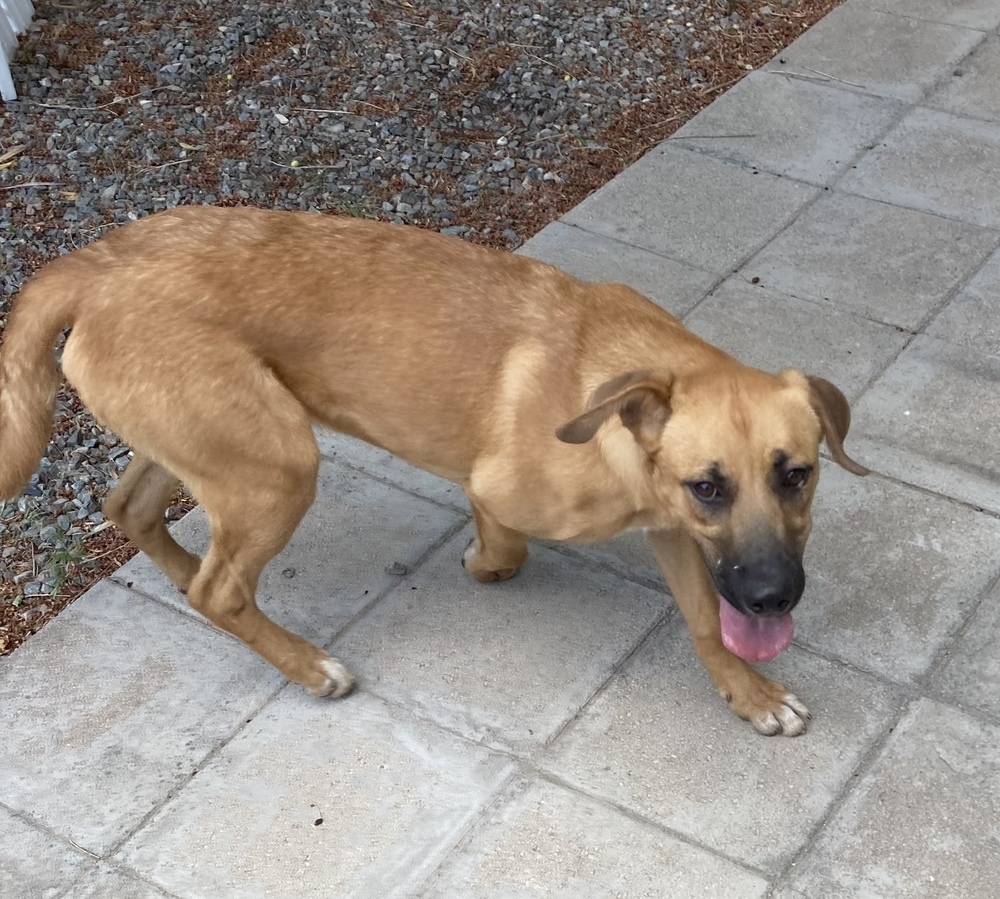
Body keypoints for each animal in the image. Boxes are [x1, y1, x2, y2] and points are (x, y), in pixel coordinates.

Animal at [0, 207, 868, 736]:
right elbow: (507, 542)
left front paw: (747, 692)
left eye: (797, 474)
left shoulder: (676, 531)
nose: (773, 597)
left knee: (135, 513)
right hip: (280, 465)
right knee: (222, 588)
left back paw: (192, 582)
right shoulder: (502, 485)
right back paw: (306, 664)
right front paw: (483, 563)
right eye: (709, 485)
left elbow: (702, 619)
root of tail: (92, 263)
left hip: (210, 444)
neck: (613, 388)